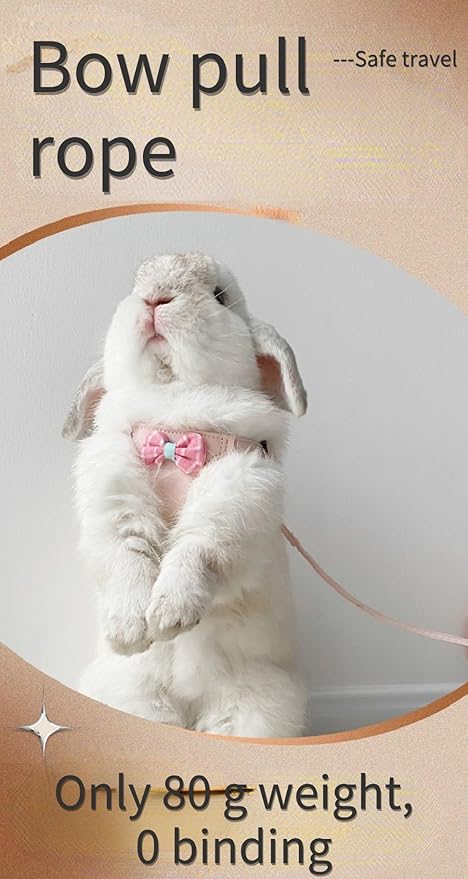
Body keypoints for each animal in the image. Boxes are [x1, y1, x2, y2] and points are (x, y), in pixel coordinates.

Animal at [63, 252, 308, 738]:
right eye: (134, 284)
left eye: (220, 296)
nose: (155, 299)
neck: (175, 418)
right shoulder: (113, 492)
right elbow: (128, 554)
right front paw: (131, 629)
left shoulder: (239, 493)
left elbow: (198, 548)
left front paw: (170, 614)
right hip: (135, 697)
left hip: (255, 707)